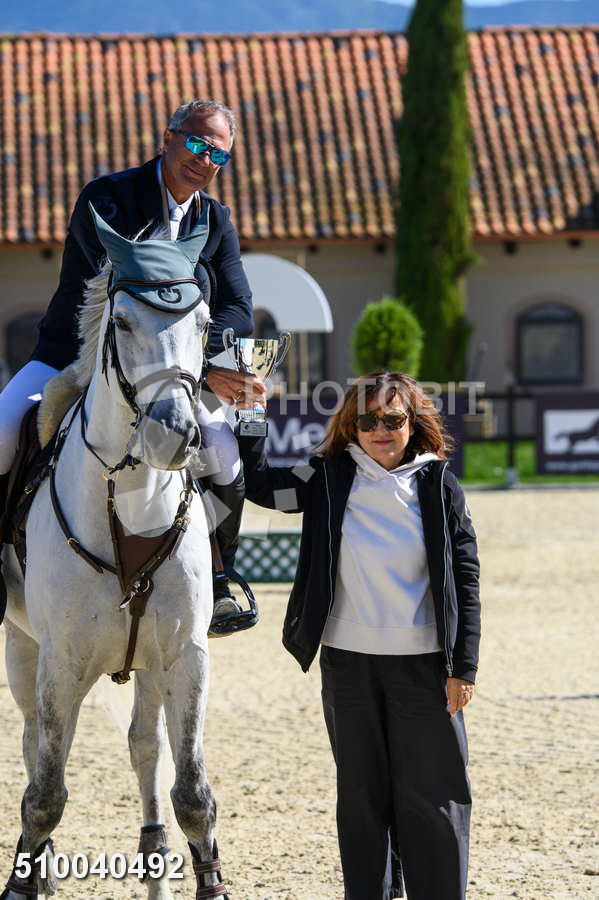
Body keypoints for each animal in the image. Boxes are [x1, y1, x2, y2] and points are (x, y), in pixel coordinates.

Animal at [1, 206, 229, 899]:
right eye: (123, 322)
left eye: (204, 324)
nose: (174, 434)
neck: (132, 503)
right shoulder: (60, 661)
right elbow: (45, 793)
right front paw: (24, 878)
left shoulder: (184, 655)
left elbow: (191, 793)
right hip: (22, 645)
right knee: (33, 745)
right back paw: (40, 870)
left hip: (147, 662)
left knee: (144, 746)